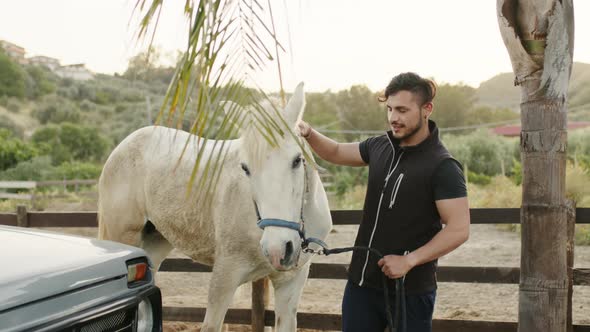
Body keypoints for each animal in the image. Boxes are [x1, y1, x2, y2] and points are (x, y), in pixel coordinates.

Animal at [97, 83, 332, 332]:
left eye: (297, 160)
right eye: (245, 168)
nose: (278, 249)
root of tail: (125, 144)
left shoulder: (290, 284)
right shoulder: (225, 277)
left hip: (155, 242)